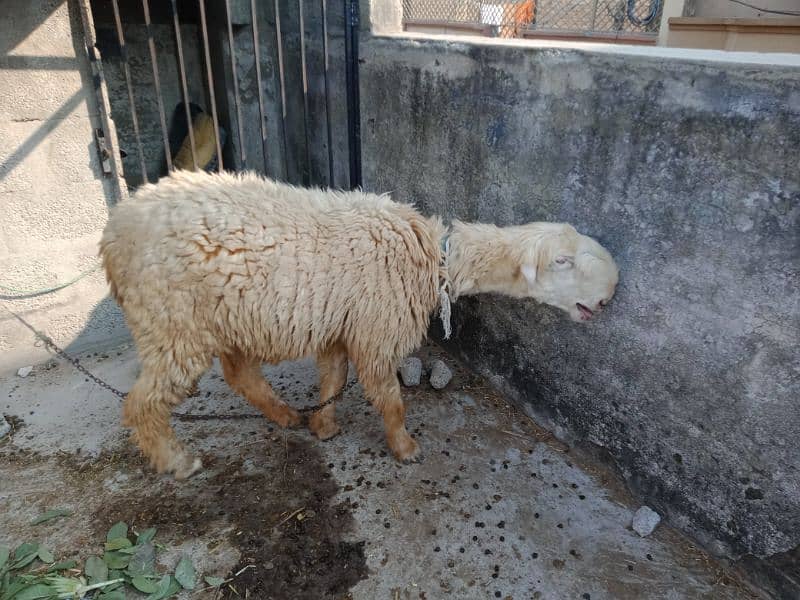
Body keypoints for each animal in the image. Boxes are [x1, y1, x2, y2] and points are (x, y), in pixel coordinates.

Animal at [97, 170, 616, 478]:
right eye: (566, 262)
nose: (610, 295)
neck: (436, 257)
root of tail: (112, 235)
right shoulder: (377, 326)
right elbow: (389, 396)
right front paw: (405, 447)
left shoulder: (340, 321)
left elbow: (333, 375)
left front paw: (323, 424)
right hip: (170, 320)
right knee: (143, 402)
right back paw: (177, 461)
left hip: (225, 314)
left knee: (239, 373)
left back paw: (285, 415)